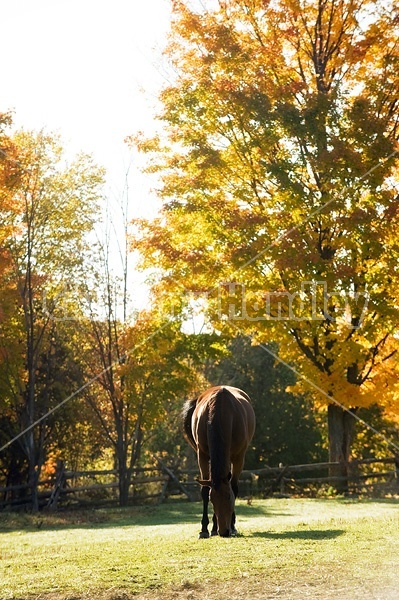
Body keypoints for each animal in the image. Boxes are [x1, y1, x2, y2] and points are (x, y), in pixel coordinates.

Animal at [184, 386, 256, 536]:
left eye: (229, 497)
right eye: (212, 500)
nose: (224, 531)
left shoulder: (238, 457)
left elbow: (234, 487)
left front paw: (232, 526)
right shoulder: (202, 455)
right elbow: (205, 489)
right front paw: (204, 529)